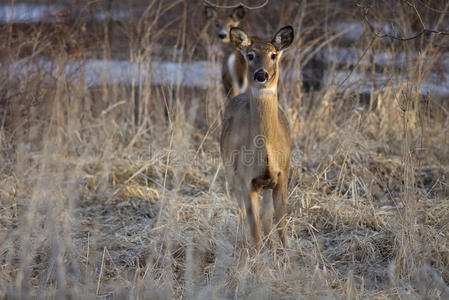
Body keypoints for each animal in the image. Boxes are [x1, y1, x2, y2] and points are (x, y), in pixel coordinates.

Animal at [220, 25, 294, 252]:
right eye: (250, 55)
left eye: (274, 55)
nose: (261, 74)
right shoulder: (246, 179)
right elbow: (256, 232)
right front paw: (256, 260)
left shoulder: (283, 175)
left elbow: (281, 225)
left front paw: (285, 256)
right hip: (231, 173)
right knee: (243, 217)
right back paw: (244, 248)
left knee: (266, 218)